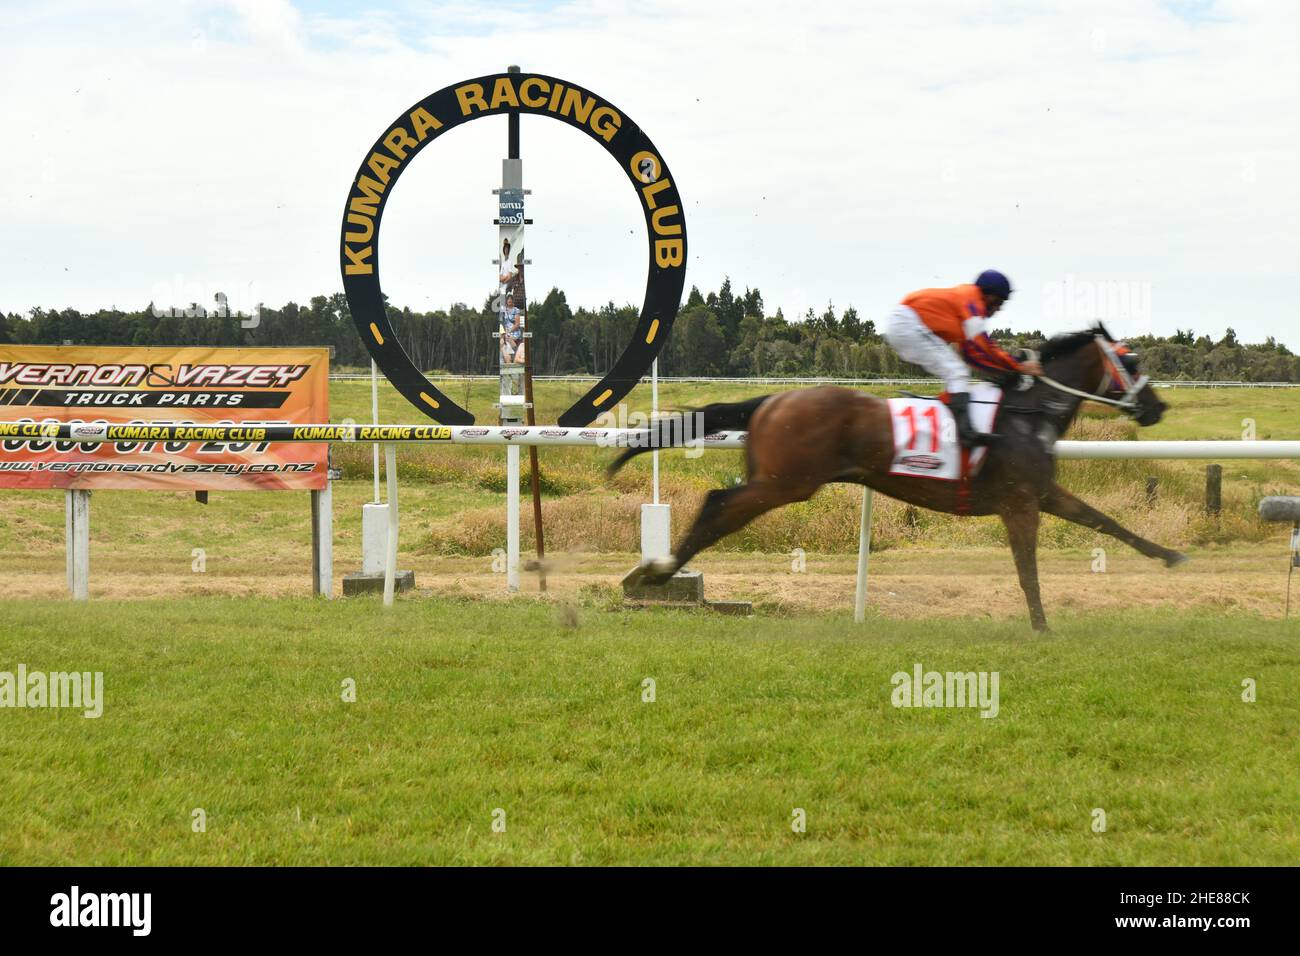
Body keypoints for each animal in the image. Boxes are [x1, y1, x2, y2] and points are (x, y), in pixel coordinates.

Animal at [613, 325, 1185, 632]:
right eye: (1132, 361)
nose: (1157, 407)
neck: (1028, 414)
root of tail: (774, 399)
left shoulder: (1043, 492)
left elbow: (1106, 521)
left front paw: (1170, 555)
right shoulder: (1020, 502)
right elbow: (1028, 569)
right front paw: (1042, 626)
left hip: (782, 480)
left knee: (719, 503)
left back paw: (656, 571)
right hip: (785, 482)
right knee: (718, 504)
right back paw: (656, 572)